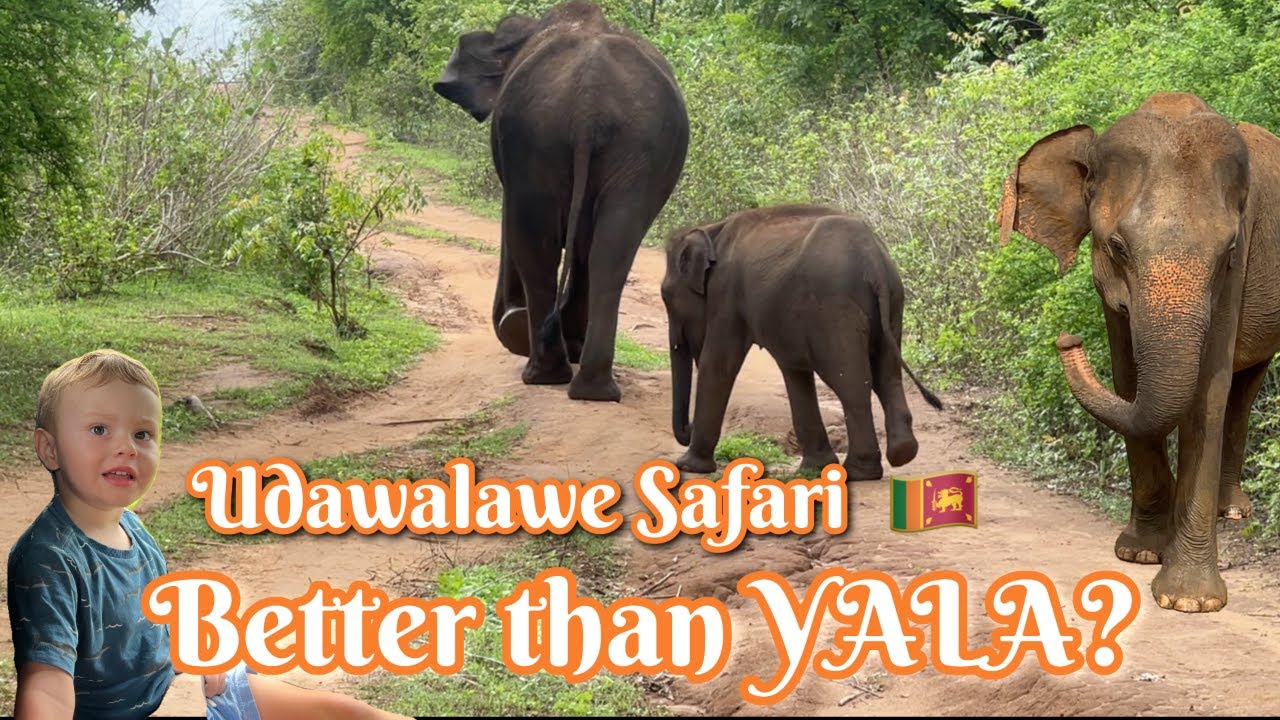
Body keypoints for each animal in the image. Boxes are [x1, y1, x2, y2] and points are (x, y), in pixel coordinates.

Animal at [432, 0, 690, 402]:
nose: (509, 317)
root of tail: (589, 98)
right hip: (633, 148)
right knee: (610, 251)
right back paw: (593, 387)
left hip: (537, 139)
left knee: (538, 244)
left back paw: (543, 373)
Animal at [662, 204, 944, 478]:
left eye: (666, 296)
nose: (687, 428)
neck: (712, 230)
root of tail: (873, 260)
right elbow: (794, 371)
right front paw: (815, 467)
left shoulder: (726, 294)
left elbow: (719, 365)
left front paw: (687, 466)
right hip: (892, 304)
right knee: (886, 374)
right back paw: (901, 453)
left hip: (834, 308)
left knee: (850, 380)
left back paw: (859, 471)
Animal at [996, 91, 1280, 613]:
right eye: (1118, 247)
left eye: (1228, 250)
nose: (1067, 340)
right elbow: (1127, 379)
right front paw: (1141, 553)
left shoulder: (1239, 265)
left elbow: (1208, 393)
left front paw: (1190, 603)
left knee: (1244, 385)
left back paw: (1232, 513)